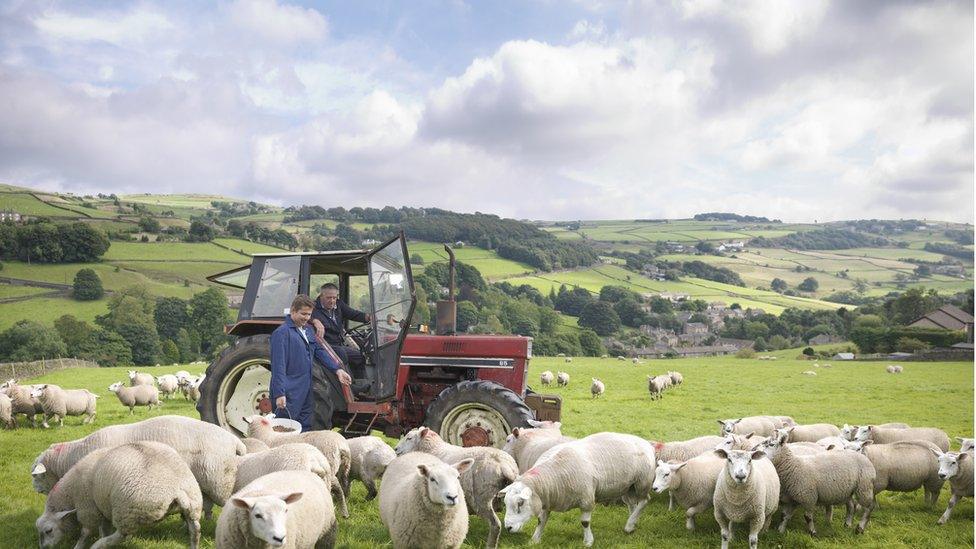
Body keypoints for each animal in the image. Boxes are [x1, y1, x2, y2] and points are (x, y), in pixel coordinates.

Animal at [31, 416, 246, 520]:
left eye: (36, 475)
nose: (35, 490)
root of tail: (235, 441)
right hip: (205, 482)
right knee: (207, 503)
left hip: (220, 480)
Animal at [394, 428, 524, 548]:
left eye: (409, 438)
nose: (395, 449)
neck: (432, 449)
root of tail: (504, 465)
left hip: (482, 498)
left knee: (495, 524)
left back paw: (490, 545)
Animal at [504, 432, 656, 544]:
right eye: (505, 503)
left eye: (520, 503)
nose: (507, 527)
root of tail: (645, 442)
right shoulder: (546, 499)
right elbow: (541, 520)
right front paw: (535, 540)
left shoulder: (587, 500)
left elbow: (585, 522)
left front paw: (588, 541)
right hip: (629, 487)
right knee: (633, 504)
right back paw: (631, 523)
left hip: (642, 482)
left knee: (644, 501)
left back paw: (629, 525)